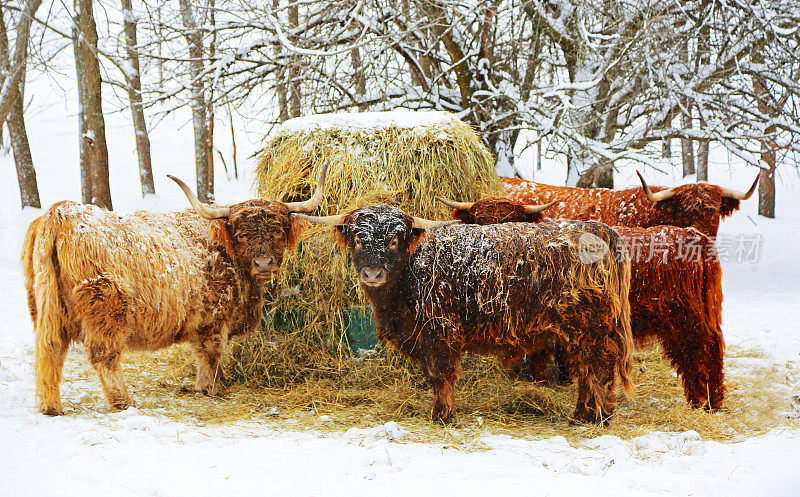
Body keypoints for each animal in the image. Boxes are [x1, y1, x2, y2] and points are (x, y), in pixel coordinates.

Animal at [22, 165, 328, 412]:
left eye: (278, 230)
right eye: (242, 234)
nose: (263, 263)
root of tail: (61, 212)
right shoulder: (214, 319)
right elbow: (210, 354)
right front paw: (208, 388)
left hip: (45, 307)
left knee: (50, 349)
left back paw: (50, 406)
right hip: (106, 309)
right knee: (103, 355)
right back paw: (124, 401)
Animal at [440, 196, 728, 408]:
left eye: (510, 221)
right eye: (478, 222)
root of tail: (695, 235)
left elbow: (540, 358)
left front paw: (541, 384)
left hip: (685, 319)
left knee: (698, 352)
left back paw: (700, 402)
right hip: (706, 313)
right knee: (714, 348)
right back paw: (715, 400)